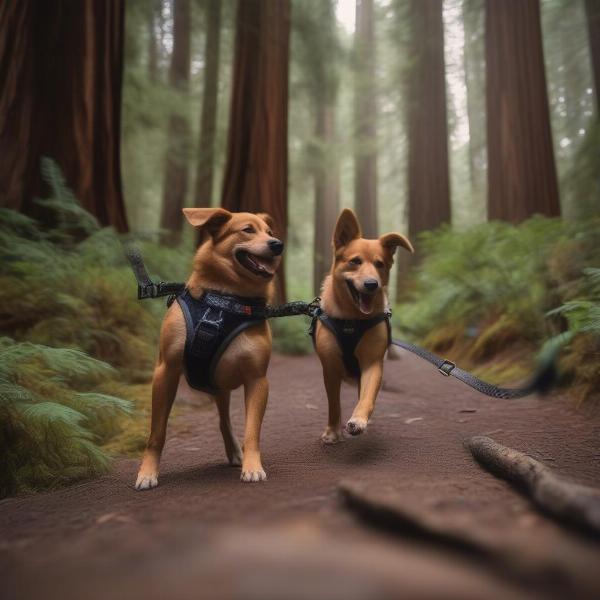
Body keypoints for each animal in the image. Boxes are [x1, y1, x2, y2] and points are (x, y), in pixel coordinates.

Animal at [135, 206, 284, 488]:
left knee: (225, 422)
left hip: (221, 387)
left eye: (270, 231)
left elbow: (251, 431)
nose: (277, 244)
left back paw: (236, 452)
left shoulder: (257, 379)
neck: (225, 302)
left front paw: (252, 466)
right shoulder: (165, 371)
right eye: (247, 230)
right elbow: (157, 432)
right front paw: (147, 472)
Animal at [314, 209, 412, 442]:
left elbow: (367, 397)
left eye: (380, 264)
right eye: (355, 261)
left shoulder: (373, 361)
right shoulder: (330, 367)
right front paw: (332, 431)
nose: (371, 284)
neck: (352, 319)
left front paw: (359, 420)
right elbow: (334, 404)